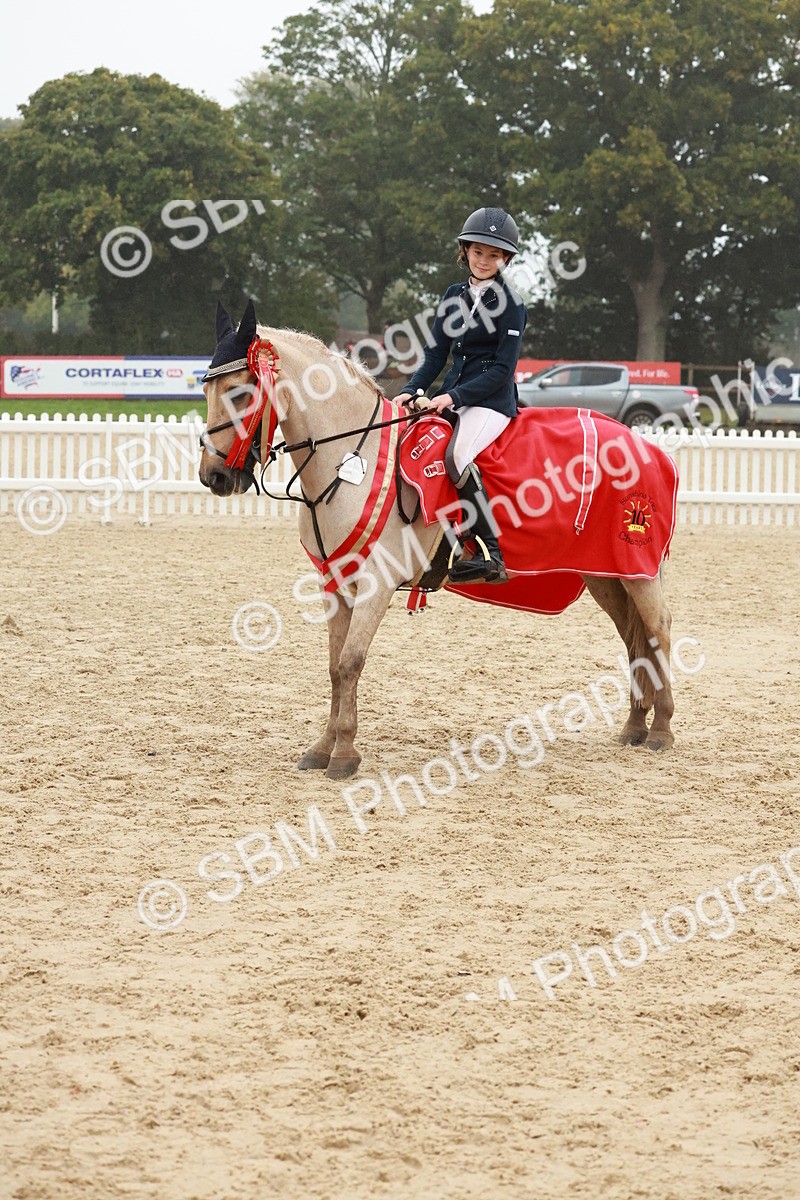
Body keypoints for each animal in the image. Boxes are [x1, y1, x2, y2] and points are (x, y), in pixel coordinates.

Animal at [199, 301, 676, 780]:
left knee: (657, 630)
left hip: (637, 569)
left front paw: (345, 753)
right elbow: (335, 666)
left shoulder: (376, 584)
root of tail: (648, 447)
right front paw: (323, 747)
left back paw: (661, 730)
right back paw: (635, 726)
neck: (351, 458)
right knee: (633, 637)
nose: (213, 476)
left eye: (240, 393)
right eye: (206, 390)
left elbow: (352, 661)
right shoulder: (335, 583)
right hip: (604, 575)